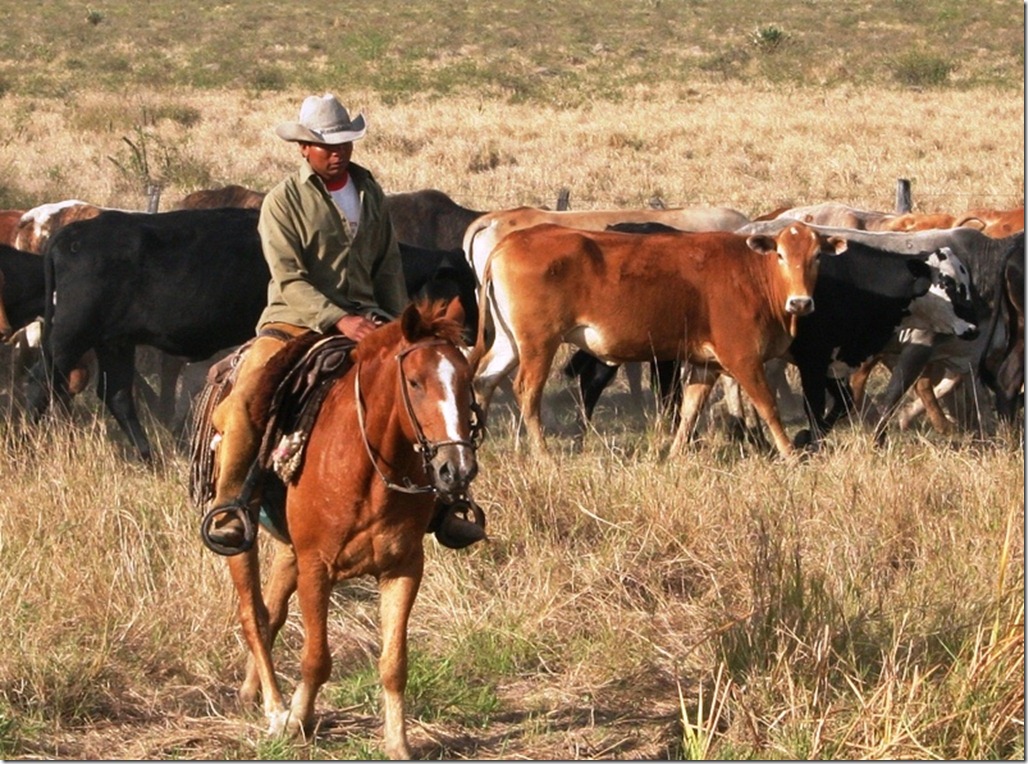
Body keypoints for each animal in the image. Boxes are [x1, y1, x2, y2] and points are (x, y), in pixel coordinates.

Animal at [217, 298, 481, 760]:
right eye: (414, 382)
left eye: (467, 380)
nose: (457, 469)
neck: (366, 468)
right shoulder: (316, 567)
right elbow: (316, 659)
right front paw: (297, 722)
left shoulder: (403, 568)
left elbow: (394, 664)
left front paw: (397, 743)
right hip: (242, 535)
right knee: (253, 613)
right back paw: (275, 708)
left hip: (290, 551)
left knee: (272, 612)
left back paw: (253, 693)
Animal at [470, 223, 838, 460]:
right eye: (780, 255)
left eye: (817, 255)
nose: (801, 302)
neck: (752, 274)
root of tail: (510, 241)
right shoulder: (743, 359)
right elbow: (768, 406)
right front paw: (790, 454)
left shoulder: (706, 365)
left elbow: (690, 410)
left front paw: (674, 455)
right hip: (538, 343)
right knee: (527, 392)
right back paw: (544, 455)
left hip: (510, 342)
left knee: (484, 381)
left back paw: (476, 444)